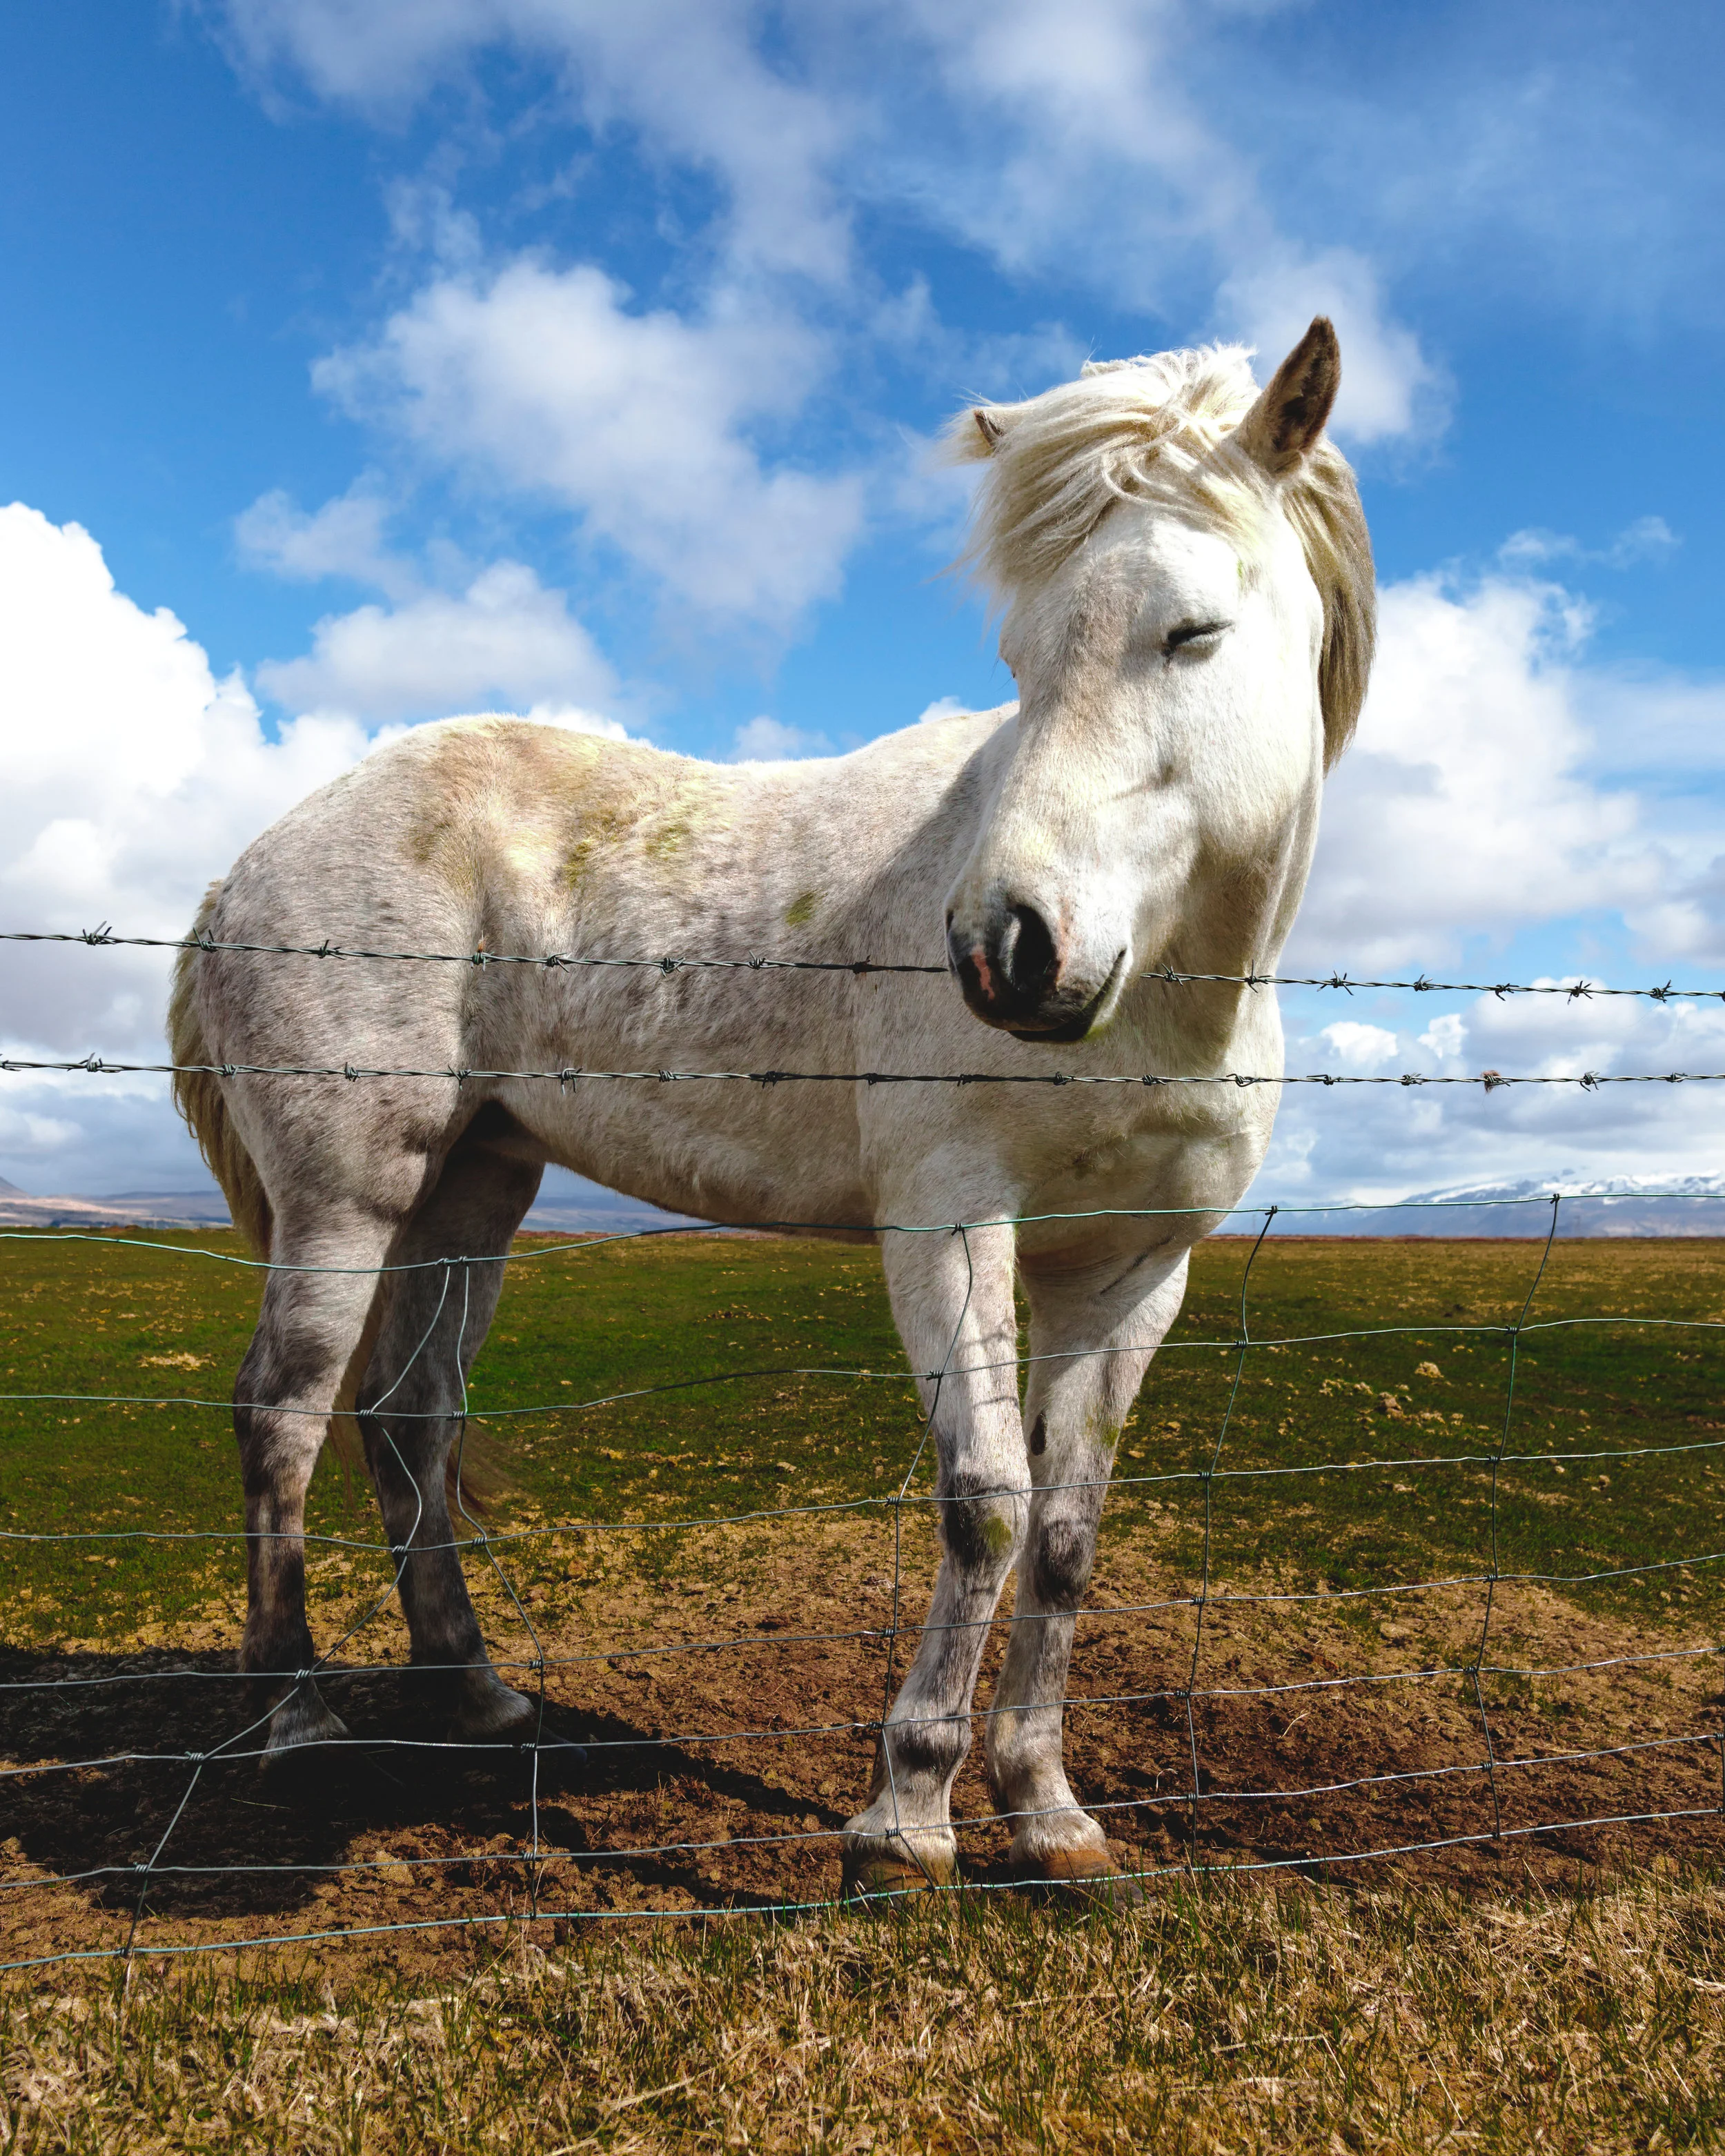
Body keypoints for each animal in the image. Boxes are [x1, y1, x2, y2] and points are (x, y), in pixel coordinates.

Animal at [169, 318, 1372, 1900]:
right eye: (1018, 659)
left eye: (1190, 633)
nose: (1004, 948)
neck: (1167, 990)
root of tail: (250, 858)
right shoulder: (945, 1221)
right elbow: (983, 1498)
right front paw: (906, 1815)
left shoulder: (1131, 1268)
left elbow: (1063, 1529)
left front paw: (1044, 1807)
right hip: (347, 1195)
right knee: (285, 1410)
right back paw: (294, 1712)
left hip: (470, 1189)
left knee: (407, 1413)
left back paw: (473, 1688)